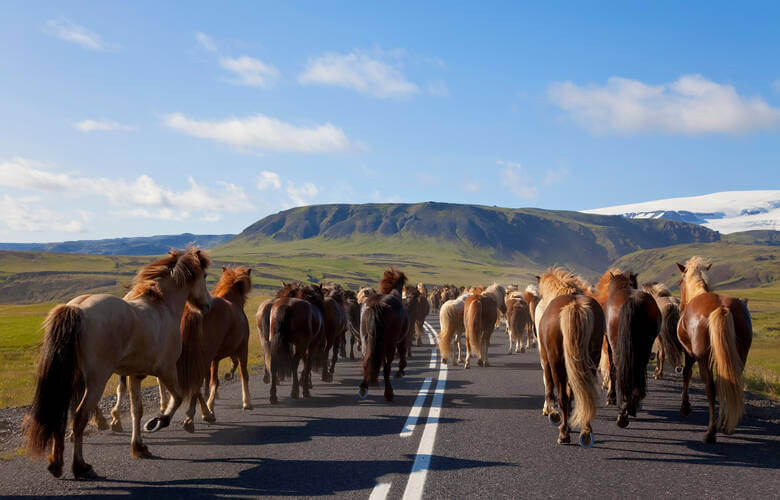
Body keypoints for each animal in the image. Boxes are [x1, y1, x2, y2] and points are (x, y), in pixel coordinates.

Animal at [25, 248, 212, 478]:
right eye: (205, 276)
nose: (208, 305)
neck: (162, 306)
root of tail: (77, 308)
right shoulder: (166, 370)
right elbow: (176, 398)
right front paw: (157, 422)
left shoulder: (134, 375)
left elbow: (136, 410)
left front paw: (139, 447)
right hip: (97, 380)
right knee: (79, 417)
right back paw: (80, 467)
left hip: (72, 379)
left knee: (62, 415)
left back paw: (56, 464)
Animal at [358, 266, 408, 402]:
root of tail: (377, 304)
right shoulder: (401, 340)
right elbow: (402, 353)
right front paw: (400, 370)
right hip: (390, 344)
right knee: (387, 367)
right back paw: (389, 393)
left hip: (366, 340)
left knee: (365, 360)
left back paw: (364, 388)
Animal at [536, 268, 604, 448]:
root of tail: (575, 305)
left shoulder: (546, 359)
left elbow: (549, 384)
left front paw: (551, 412)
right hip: (591, 360)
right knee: (585, 392)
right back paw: (586, 430)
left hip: (556, 361)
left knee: (562, 396)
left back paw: (564, 433)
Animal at [600, 270, 660, 426]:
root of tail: (632, 301)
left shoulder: (609, 344)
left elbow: (612, 369)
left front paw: (611, 397)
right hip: (644, 346)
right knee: (638, 367)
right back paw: (632, 404)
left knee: (618, 368)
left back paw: (624, 410)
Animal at [672, 258, 752, 442]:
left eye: (680, 282)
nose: (680, 306)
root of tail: (722, 308)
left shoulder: (689, 354)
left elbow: (686, 374)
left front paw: (685, 407)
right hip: (739, 357)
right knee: (730, 383)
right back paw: (725, 425)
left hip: (703, 359)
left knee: (711, 388)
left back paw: (711, 431)